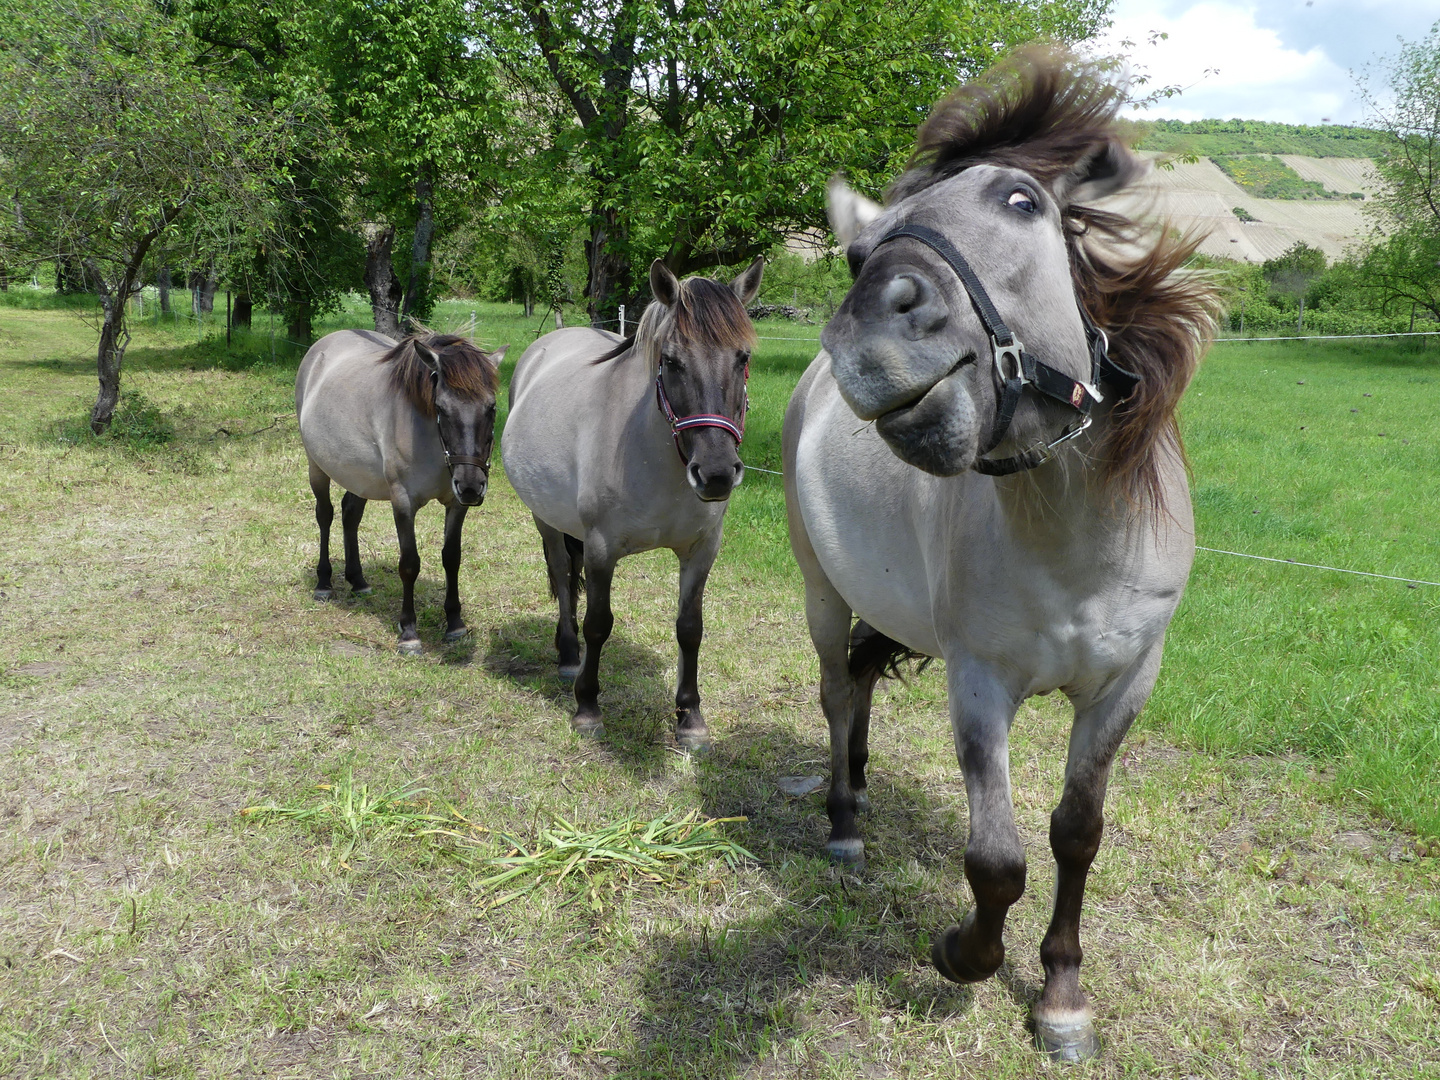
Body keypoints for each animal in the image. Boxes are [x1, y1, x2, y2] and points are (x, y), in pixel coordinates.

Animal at [292, 325, 506, 656]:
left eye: (491, 407)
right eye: (441, 408)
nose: (471, 486)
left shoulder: (455, 505)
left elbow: (452, 558)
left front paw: (455, 624)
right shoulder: (403, 502)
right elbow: (409, 564)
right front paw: (409, 633)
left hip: (358, 476)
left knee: (350, 515)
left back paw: (358, 581)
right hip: (317, 467)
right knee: (325, 515)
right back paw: (324, 584)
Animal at [504, 257, 766, 748]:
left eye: (743, 357)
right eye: (671, 360)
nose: (717, 473)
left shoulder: (702, 550)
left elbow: (690, 629)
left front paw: (690, 717)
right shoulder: (601, 548)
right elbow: (598, 622)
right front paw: (587, 707)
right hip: (545, 518)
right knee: (561, 574)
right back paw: (568, 655)